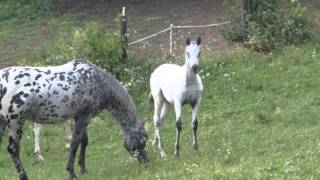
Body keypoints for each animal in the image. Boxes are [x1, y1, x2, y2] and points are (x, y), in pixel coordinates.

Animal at [0, 60, 149, 180]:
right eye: (143, 140)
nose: (146, 162)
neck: (98, 81)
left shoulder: (83, 117)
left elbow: (84, 141)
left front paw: (83, 170)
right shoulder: (84, 117)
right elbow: (75, 143)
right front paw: (71, 173)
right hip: (15, 122)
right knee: (13, 149)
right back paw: (24, 176)